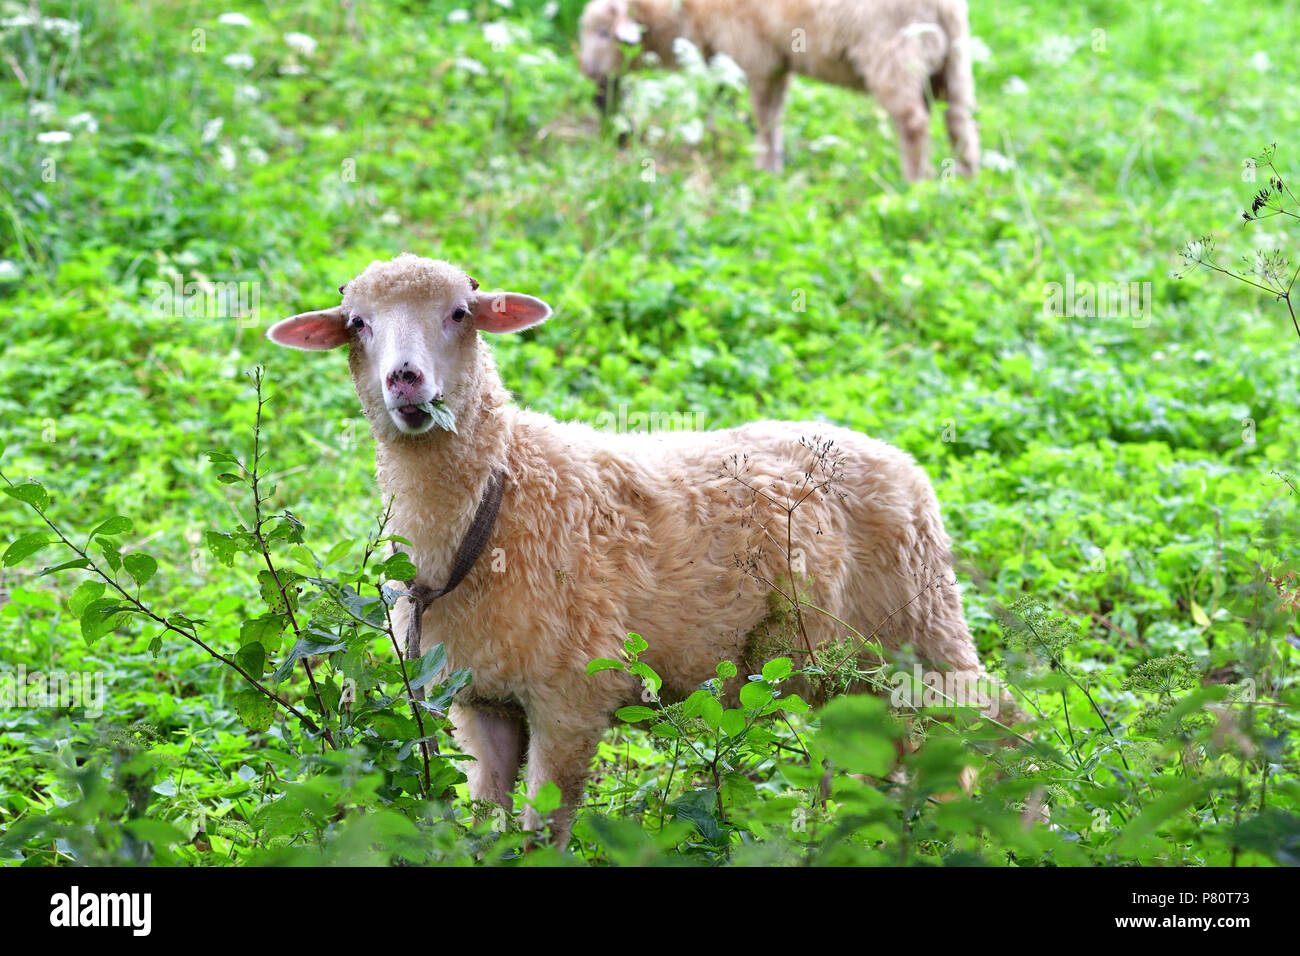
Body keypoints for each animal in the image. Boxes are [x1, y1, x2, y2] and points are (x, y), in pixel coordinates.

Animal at [266, 253, 1004, 845]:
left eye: (458, 313)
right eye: (357, 323)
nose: (406, 380)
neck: (501, 497)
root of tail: (901, 460)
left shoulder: (572, 694)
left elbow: (544, 829)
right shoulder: (478, 700)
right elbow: (488, 823)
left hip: (919, 639)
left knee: (967, 733)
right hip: (844, 676)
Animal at [578, 0, 981, 182]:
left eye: (602, 33)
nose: (586, 72)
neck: (684, 13)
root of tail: (942, 8)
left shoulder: (758, 56)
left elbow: (763, 117)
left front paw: (764, 169)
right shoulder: (776, 61)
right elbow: (772, 116)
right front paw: (773, 165)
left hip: (893, 52)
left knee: (914, 124)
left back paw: (913, 186)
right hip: (956, 57)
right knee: (962, 121)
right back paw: (966, 182)